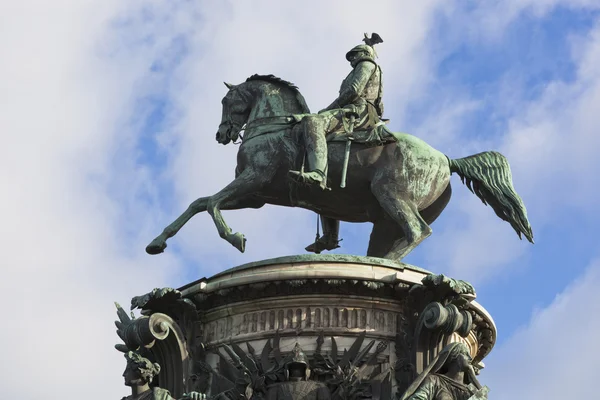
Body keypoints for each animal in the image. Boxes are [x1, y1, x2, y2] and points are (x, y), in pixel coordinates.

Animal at [146, 74, 536, 260]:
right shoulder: (256, 195)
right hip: (383, 218)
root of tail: (444, 158)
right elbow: (198, 203)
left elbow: (211, 203)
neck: (274, 125)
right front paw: (158, 241)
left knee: (418, 231)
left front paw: (235, 237)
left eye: (227, 100)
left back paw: (391, 265)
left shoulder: (253, 180)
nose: (221, 134)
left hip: (391, 194)